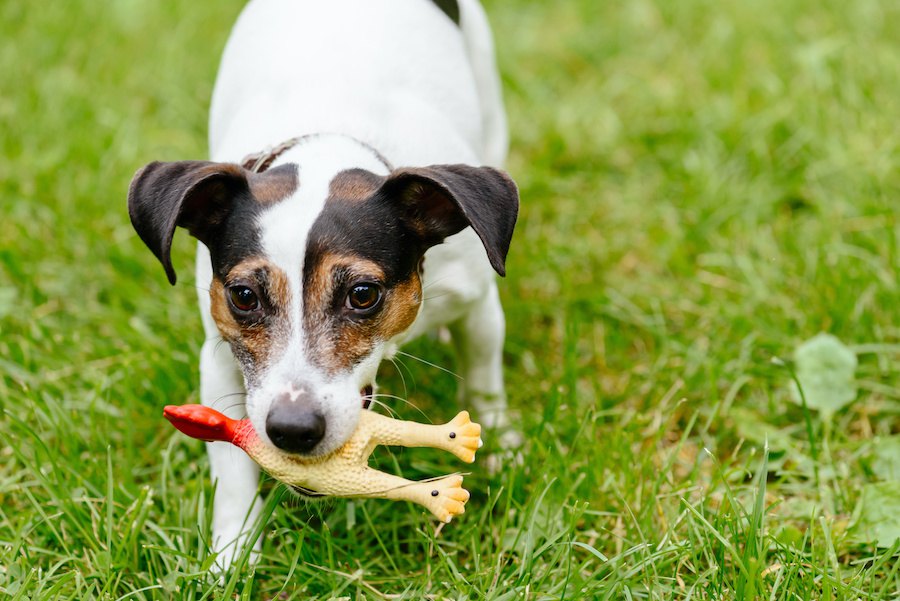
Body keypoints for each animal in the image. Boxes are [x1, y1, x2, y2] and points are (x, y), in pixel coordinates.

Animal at [127, 0, 520, 568]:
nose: (293, 430)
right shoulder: (219, 356)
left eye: (363, 295)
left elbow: (485, 376)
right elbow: (231, 469)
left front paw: (501, 445)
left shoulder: (477, 301)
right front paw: (232, 557)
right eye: (243, 296)